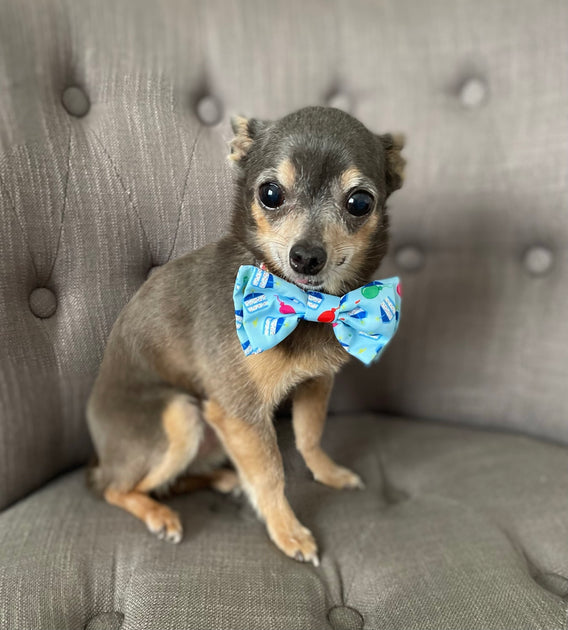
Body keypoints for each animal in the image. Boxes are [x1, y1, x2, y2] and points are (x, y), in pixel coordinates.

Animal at [86, 105, 406, 568]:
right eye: (270, 194)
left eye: (360, 203)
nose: (306, 256)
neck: (302, 303)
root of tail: (100, 456)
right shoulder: (240, 414)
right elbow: (271, 474)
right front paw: (288, 531)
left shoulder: (315, 383)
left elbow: (310, 436)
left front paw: (328, 473)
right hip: (181, 415)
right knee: (118, 488)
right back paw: (158, 513)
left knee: (169, 481)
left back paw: (222, 479)